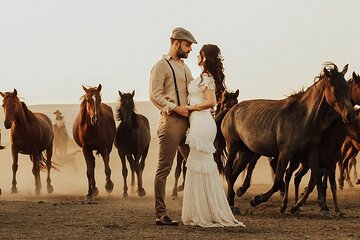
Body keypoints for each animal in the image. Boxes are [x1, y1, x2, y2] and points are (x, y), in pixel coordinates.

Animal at [215, 62, 356, 215]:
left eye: (348, 88)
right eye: (335, 89)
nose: (351, 115)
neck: (303, 117)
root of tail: (230, 110)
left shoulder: (312, 152)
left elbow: (317, 177)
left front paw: (324, 207)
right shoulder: (285, 153)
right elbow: (278, 181)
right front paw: (257, 199)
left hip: (246, 152)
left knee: (234, 173)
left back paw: (232, 200)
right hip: (233, 146)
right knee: (228, 171)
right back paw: (231, 201)